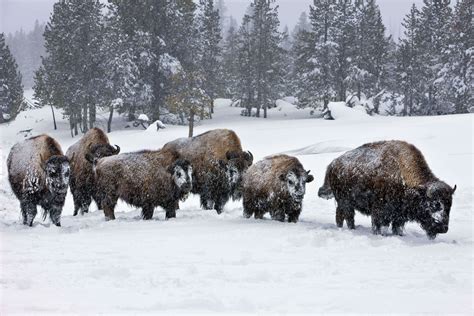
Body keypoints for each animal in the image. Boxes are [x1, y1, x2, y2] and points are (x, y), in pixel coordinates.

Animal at [318, 139, 456, 238]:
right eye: (434, 204)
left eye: (449, 205)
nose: (443, 229)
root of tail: (332, 164)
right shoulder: (380, 212)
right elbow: (379, 226)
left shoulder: (399, 216)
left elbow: (397, 228)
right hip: (345, 202)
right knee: (347, 216)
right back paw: (350, 229)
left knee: (341, 215)